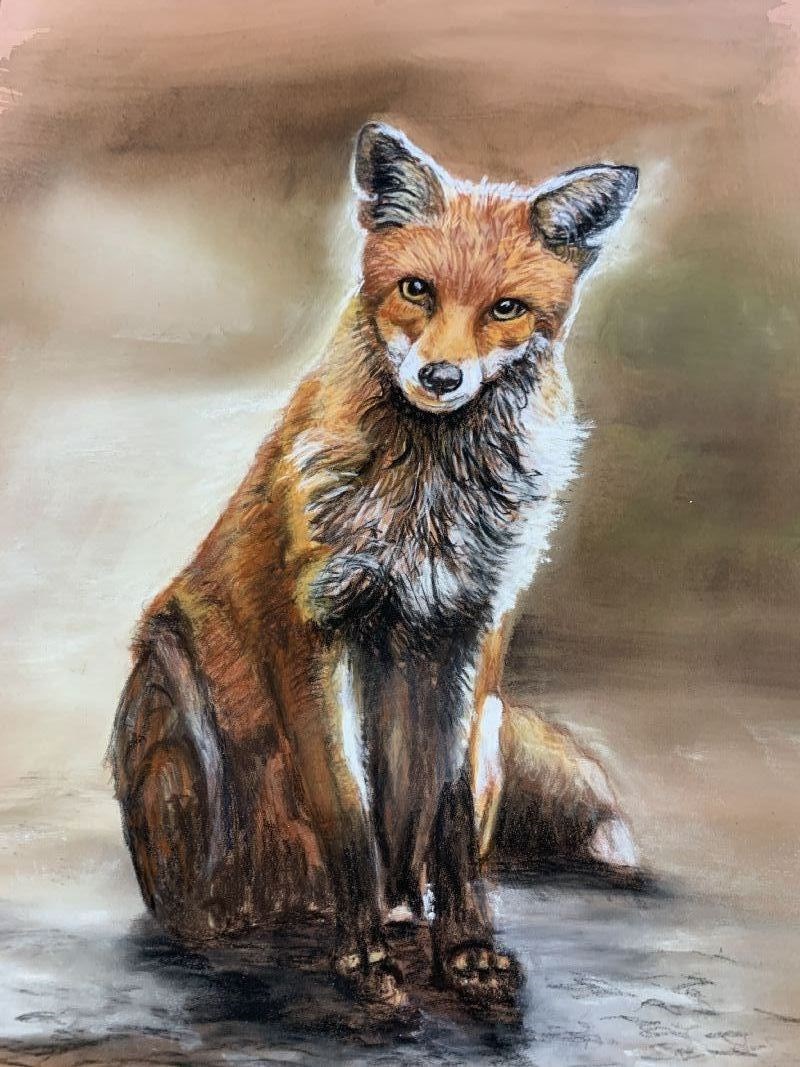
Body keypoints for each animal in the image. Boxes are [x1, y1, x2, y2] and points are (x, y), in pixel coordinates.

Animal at [109, 123, 639, 1010]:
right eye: (415, 289)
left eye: (505, 308)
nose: (439, 376)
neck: (430, 495)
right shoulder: (316, 632)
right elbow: (347, 809)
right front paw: (362, 959)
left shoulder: (471, 636)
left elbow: (447, 826)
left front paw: (466, 950)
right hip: (175, 683)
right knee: (224, 891)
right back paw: (246, 923)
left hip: (490, 731)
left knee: (425, 849)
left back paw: (403, 910)